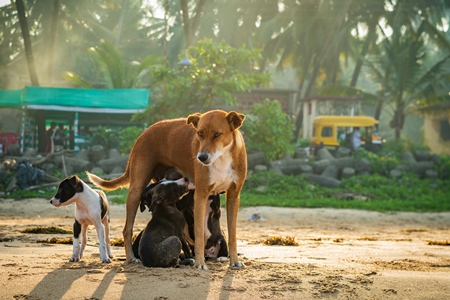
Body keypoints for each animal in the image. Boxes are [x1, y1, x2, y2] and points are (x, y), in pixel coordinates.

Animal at [86, 110, 248, 270]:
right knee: (127, 229)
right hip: (136, 191)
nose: (201, 157)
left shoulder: (233, 196)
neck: (221, 159)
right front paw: (200, 263)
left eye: (217, 134)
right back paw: (132, 258)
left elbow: (232, 236)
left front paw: (234, 261)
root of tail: (145, 132)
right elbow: (199, 236)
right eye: (200, 134)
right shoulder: (200, 196)